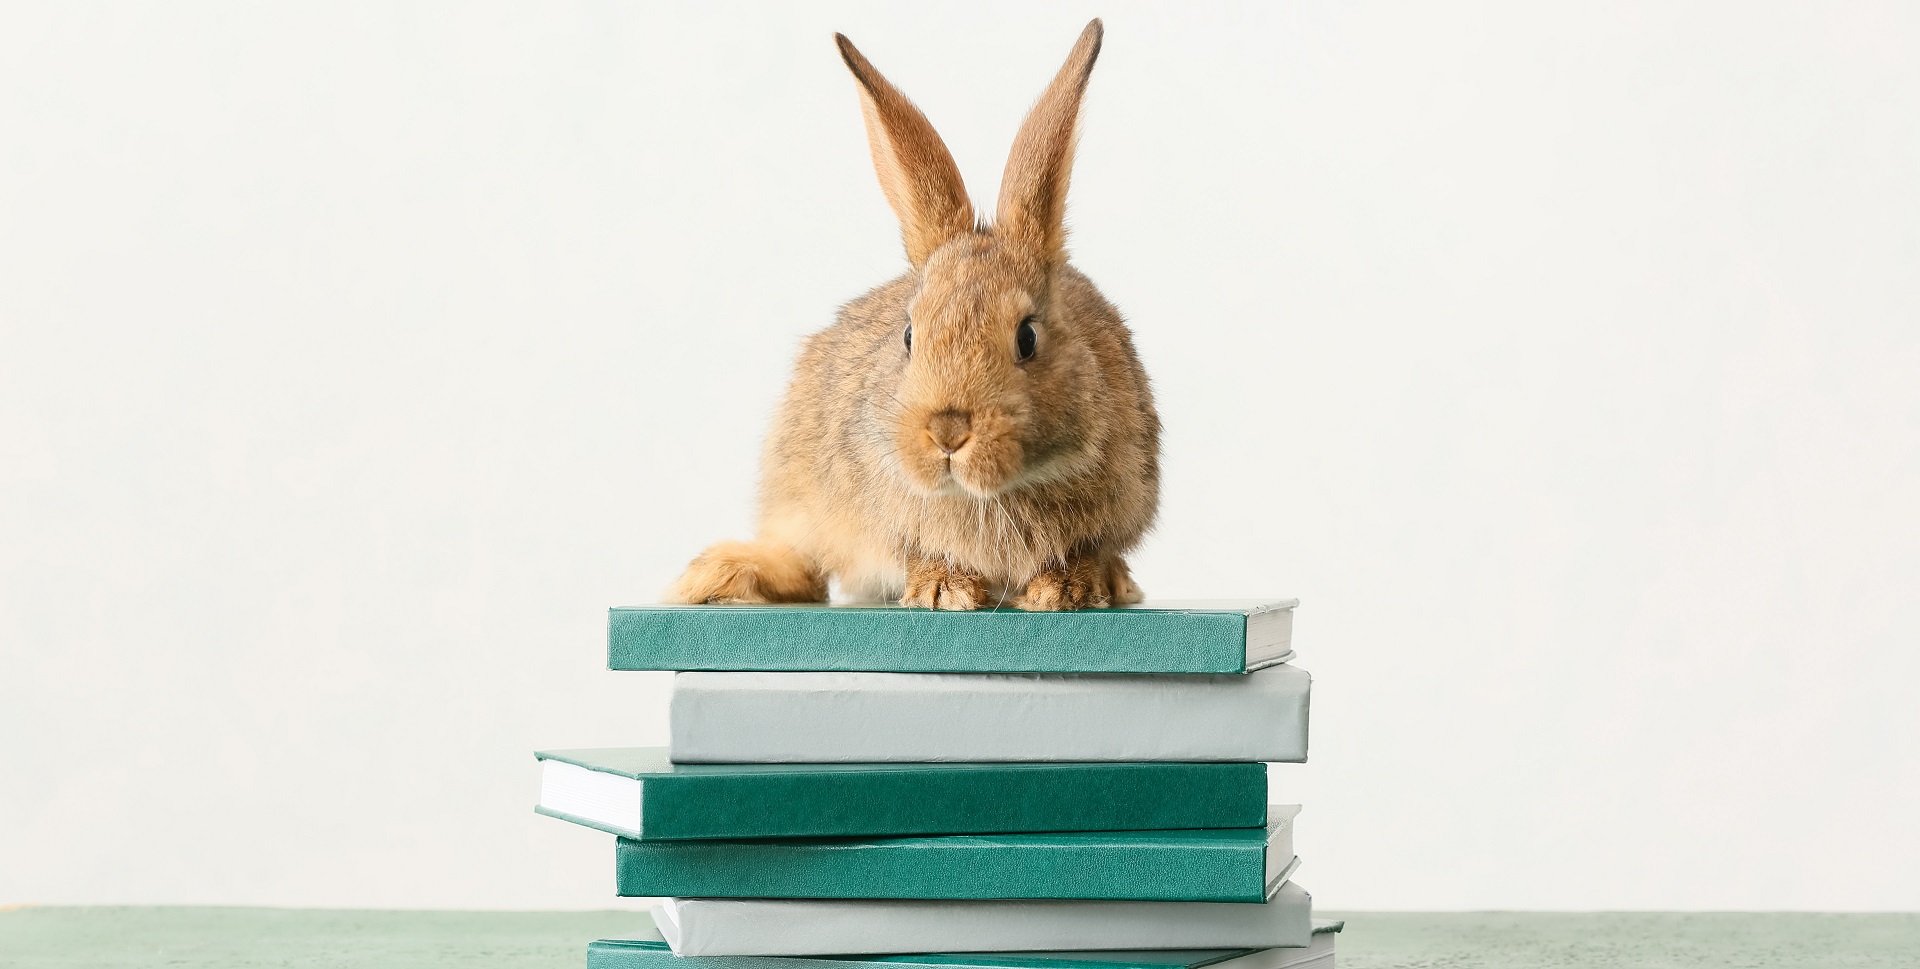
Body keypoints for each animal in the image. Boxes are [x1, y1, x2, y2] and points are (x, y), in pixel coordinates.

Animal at [667, 19, 1159, 611]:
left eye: (1027, 338)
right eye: (908, 336)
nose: (947, 431)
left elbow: (1089, 550)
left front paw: (1069, 588)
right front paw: (943, 589)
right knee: (806, 568)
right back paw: (718, 576)